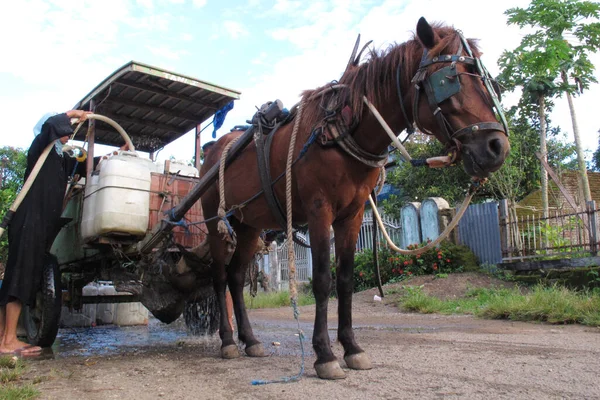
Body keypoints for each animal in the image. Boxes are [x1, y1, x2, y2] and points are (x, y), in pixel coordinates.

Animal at [199, 17, 508, 380]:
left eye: (491, 84)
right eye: (449, 80)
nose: (497, 147)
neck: (343, 130)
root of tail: (212, 152)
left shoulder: (352, 214)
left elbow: (345, 280)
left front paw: (351, 347)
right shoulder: (319, 211)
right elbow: (322, 280)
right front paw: (324, 354)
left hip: (249, 225)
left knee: (236, 278)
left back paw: (250, 339)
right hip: (217, 221)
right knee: (220, 277)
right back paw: (228, 341)